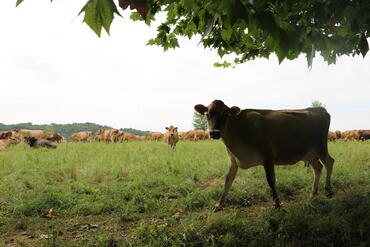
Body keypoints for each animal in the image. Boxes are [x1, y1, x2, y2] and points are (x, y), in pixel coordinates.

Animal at [195, 99, 336, 209]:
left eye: (225, 114)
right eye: (207, 114)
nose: (214, 133)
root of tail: (319, 109)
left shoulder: (268, 157)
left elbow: (271, 181)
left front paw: (277, 203)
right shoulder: (232, 160)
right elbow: (227, 181)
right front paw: (218, 204)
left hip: (320, 146)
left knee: (329, 162)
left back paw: (328, 190)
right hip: (309, 153)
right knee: (318, 168)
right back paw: (313, 193)